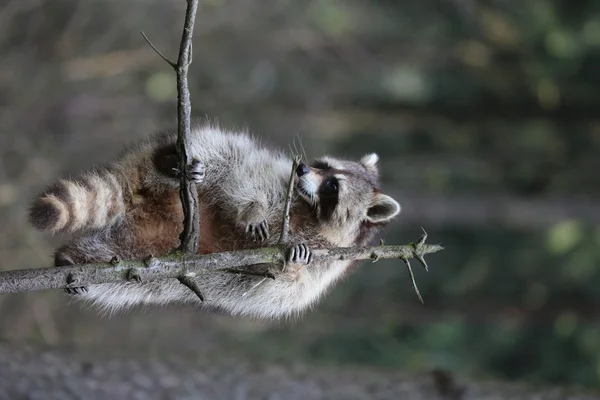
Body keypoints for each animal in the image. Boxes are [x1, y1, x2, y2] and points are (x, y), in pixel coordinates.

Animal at [29, 123, 404, 318]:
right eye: (323, 165)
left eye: (332, 186)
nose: (301, 168)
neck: (314, 216)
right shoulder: (278, 181)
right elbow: (250, 178)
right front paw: (252, 210)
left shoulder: (327, 266)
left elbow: (276, 286)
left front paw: (290, 262)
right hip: (190, 156)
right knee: (220, 154)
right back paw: (171, 164)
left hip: (149, 244)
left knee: (126, 274)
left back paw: (77, 259)